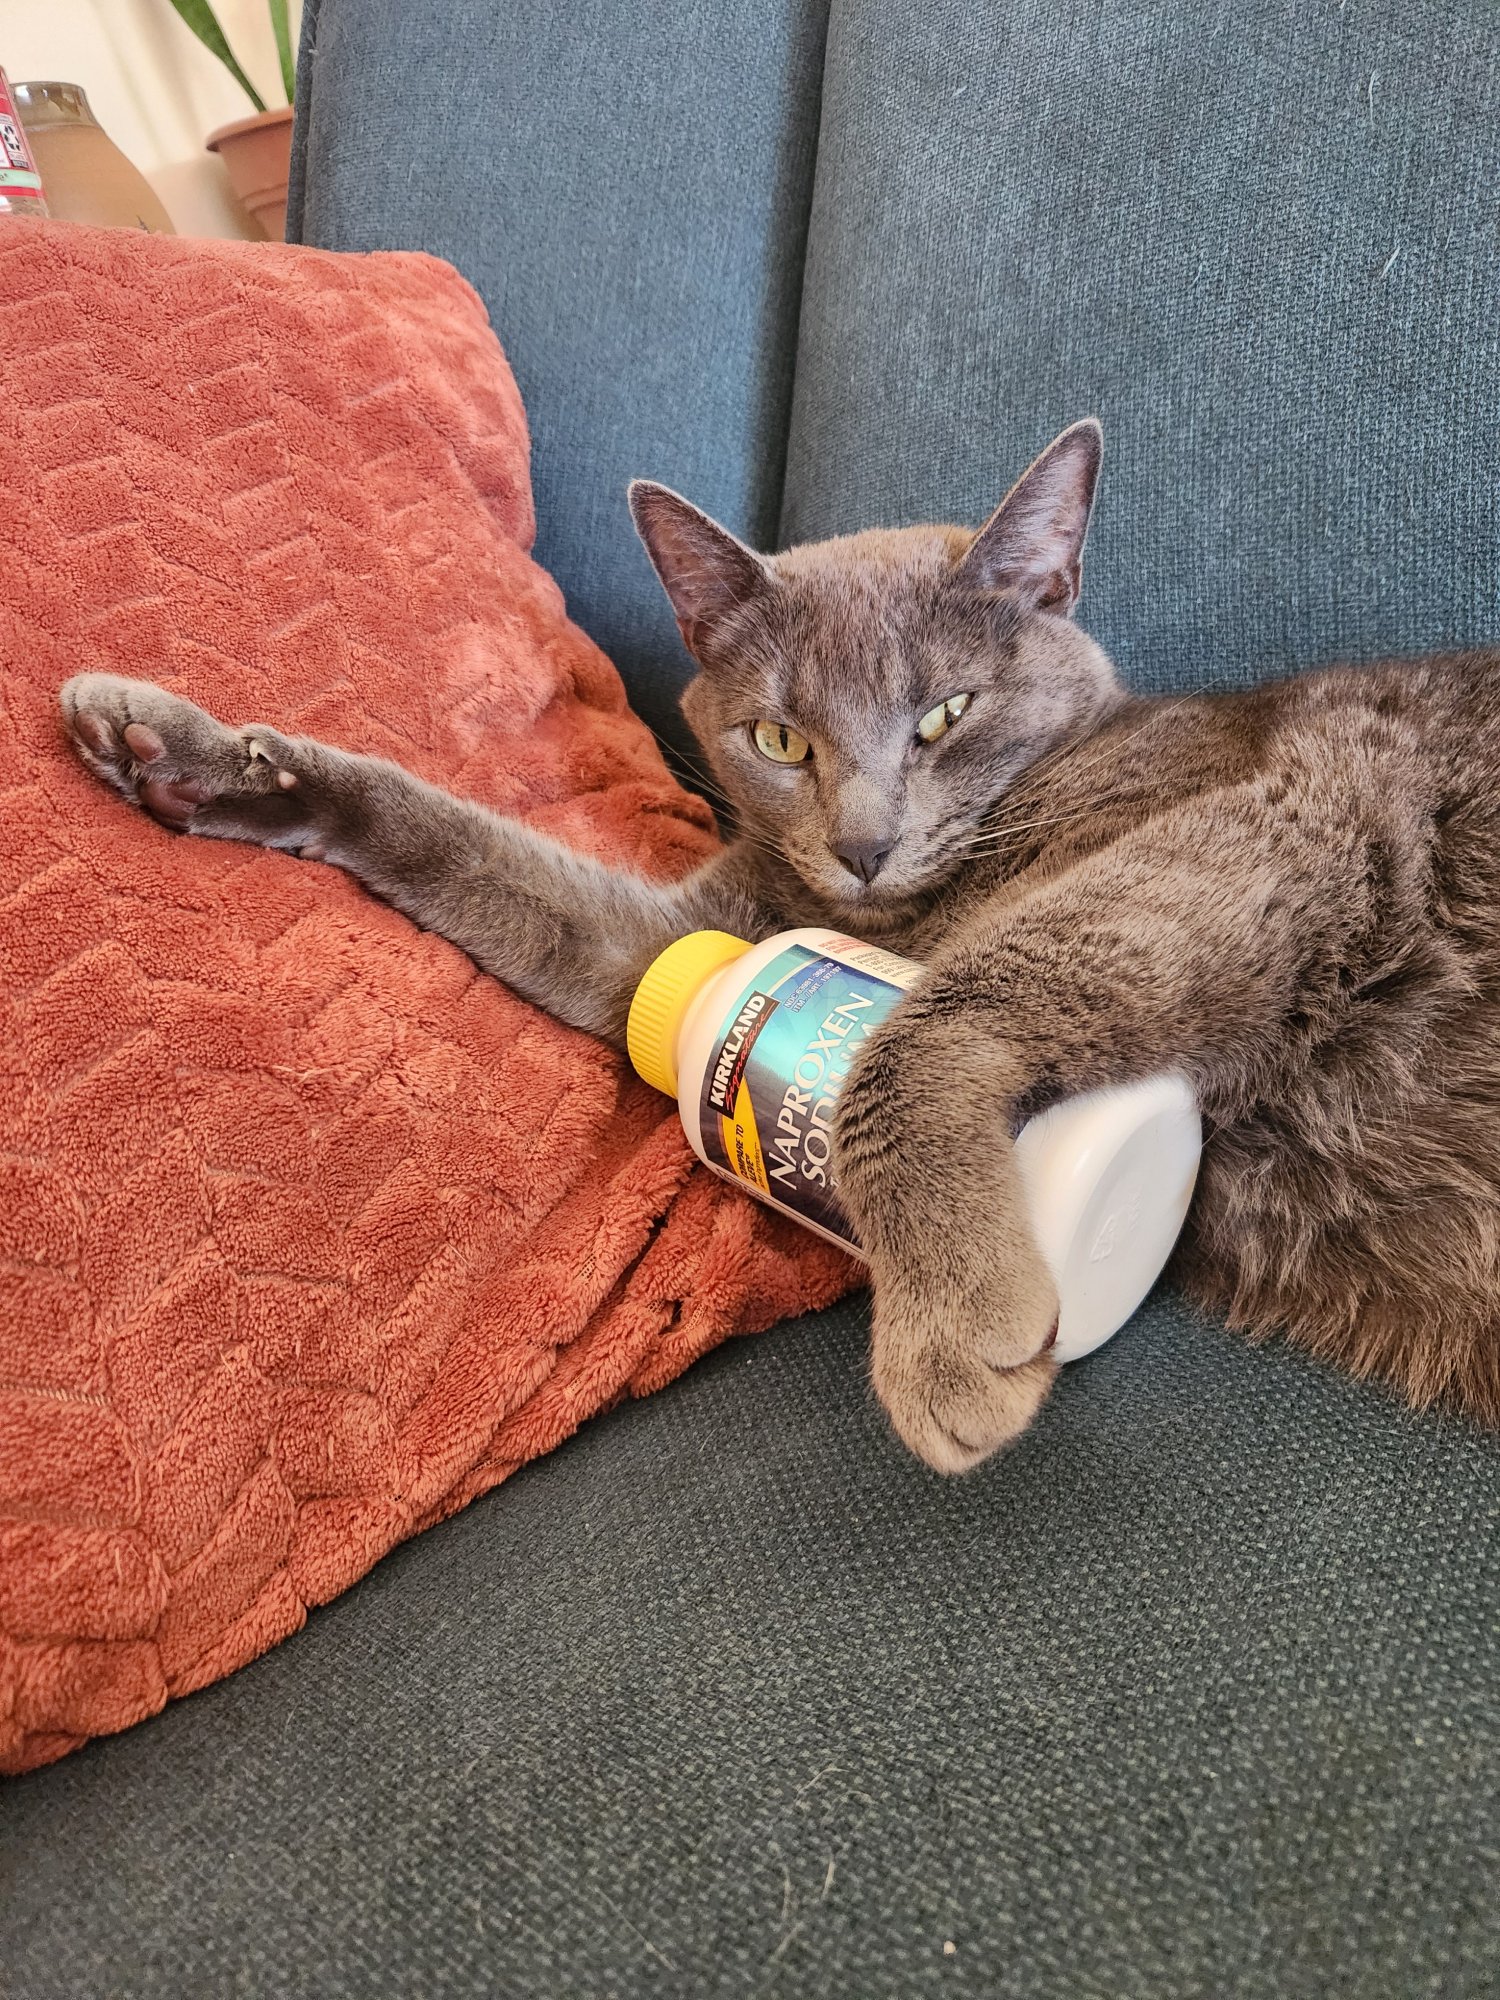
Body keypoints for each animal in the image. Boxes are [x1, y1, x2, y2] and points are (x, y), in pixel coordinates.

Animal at [59, 421, 1500, 1471]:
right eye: (781, 738)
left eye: (944, 715)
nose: (861, 842)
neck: (893, 915)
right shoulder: (681, 942)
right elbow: (453, 838)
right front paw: (190, 751)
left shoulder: (1288, 815)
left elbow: (921, 1026)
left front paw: (945, 1335)